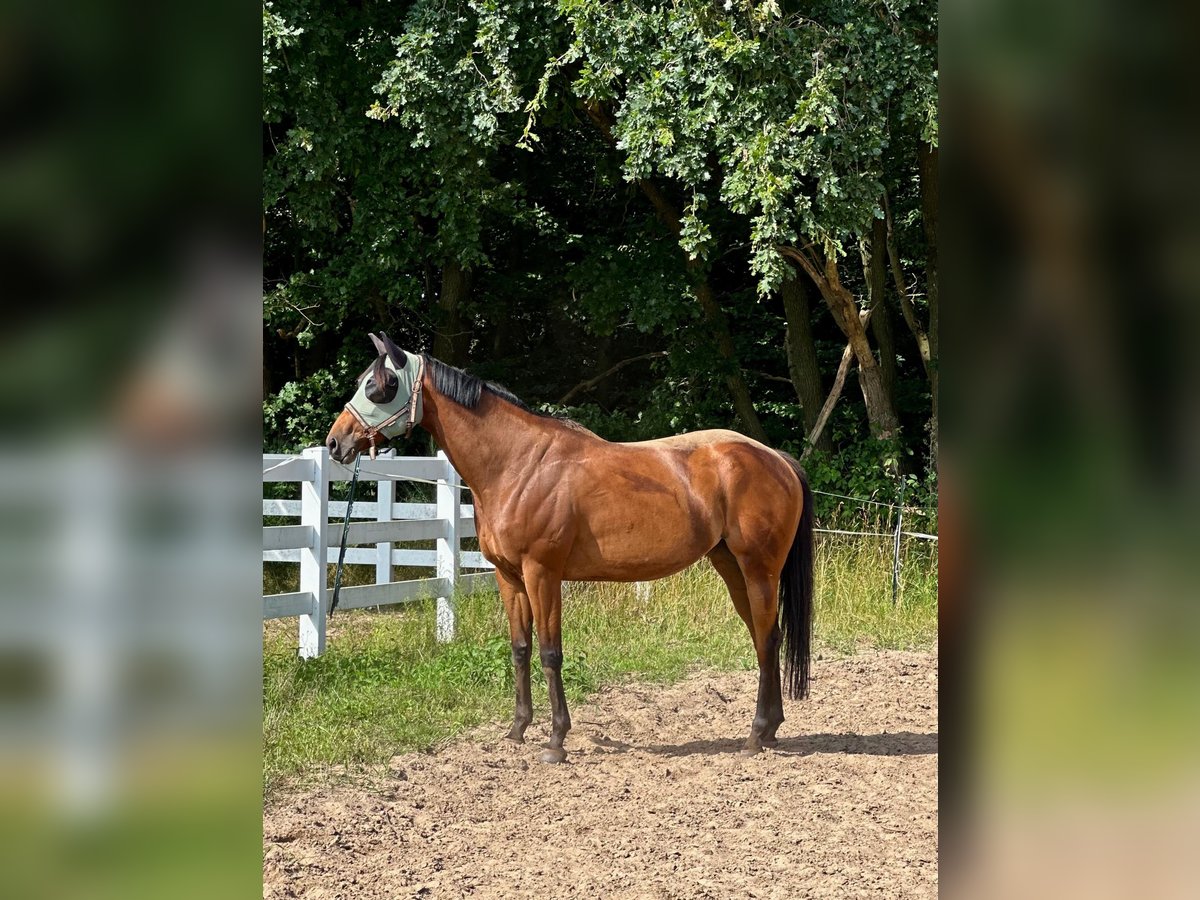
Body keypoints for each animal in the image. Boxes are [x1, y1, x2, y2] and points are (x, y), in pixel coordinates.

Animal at [326, 336, 816, 763]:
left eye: (379, 385)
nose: (336, 442)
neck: (519, 464)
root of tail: (776, 458)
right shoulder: (510, 577)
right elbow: (520, 648)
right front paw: (517, 730)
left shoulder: (542, 573)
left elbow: (550, 652)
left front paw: (556, 742)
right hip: (731, 566)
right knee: (765, 637)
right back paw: (770, 730)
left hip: (758, 569)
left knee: (767, 637)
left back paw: (755, 736)